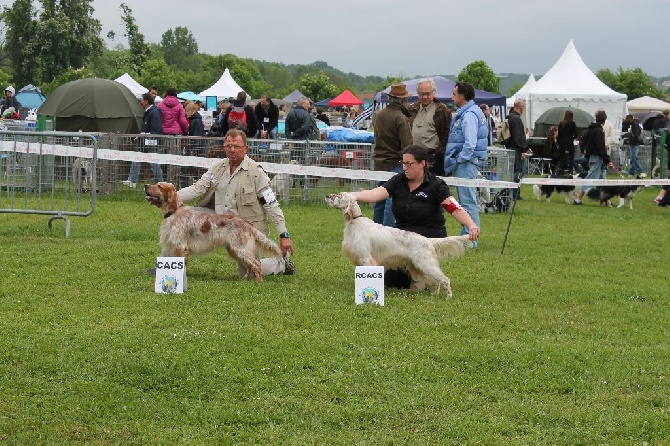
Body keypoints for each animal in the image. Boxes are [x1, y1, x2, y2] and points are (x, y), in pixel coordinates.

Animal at [144, 182, 284, 282]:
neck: (174, 212)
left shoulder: (181, 246)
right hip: (235, 250)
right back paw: (245, 279)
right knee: (249, 266)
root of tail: (247, 224)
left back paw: (258, 281)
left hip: (240, 249)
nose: (145, 185)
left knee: (256, 264)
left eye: (159, 186)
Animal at [326, 193, 472, 300]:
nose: (327, 195)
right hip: (421, 266)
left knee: (445, 279)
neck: (354, 221)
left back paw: (448, 297)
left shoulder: (366, 259)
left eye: (339, 195)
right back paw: (434, 295)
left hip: (426, 264)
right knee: (437, 281)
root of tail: (428, 240)